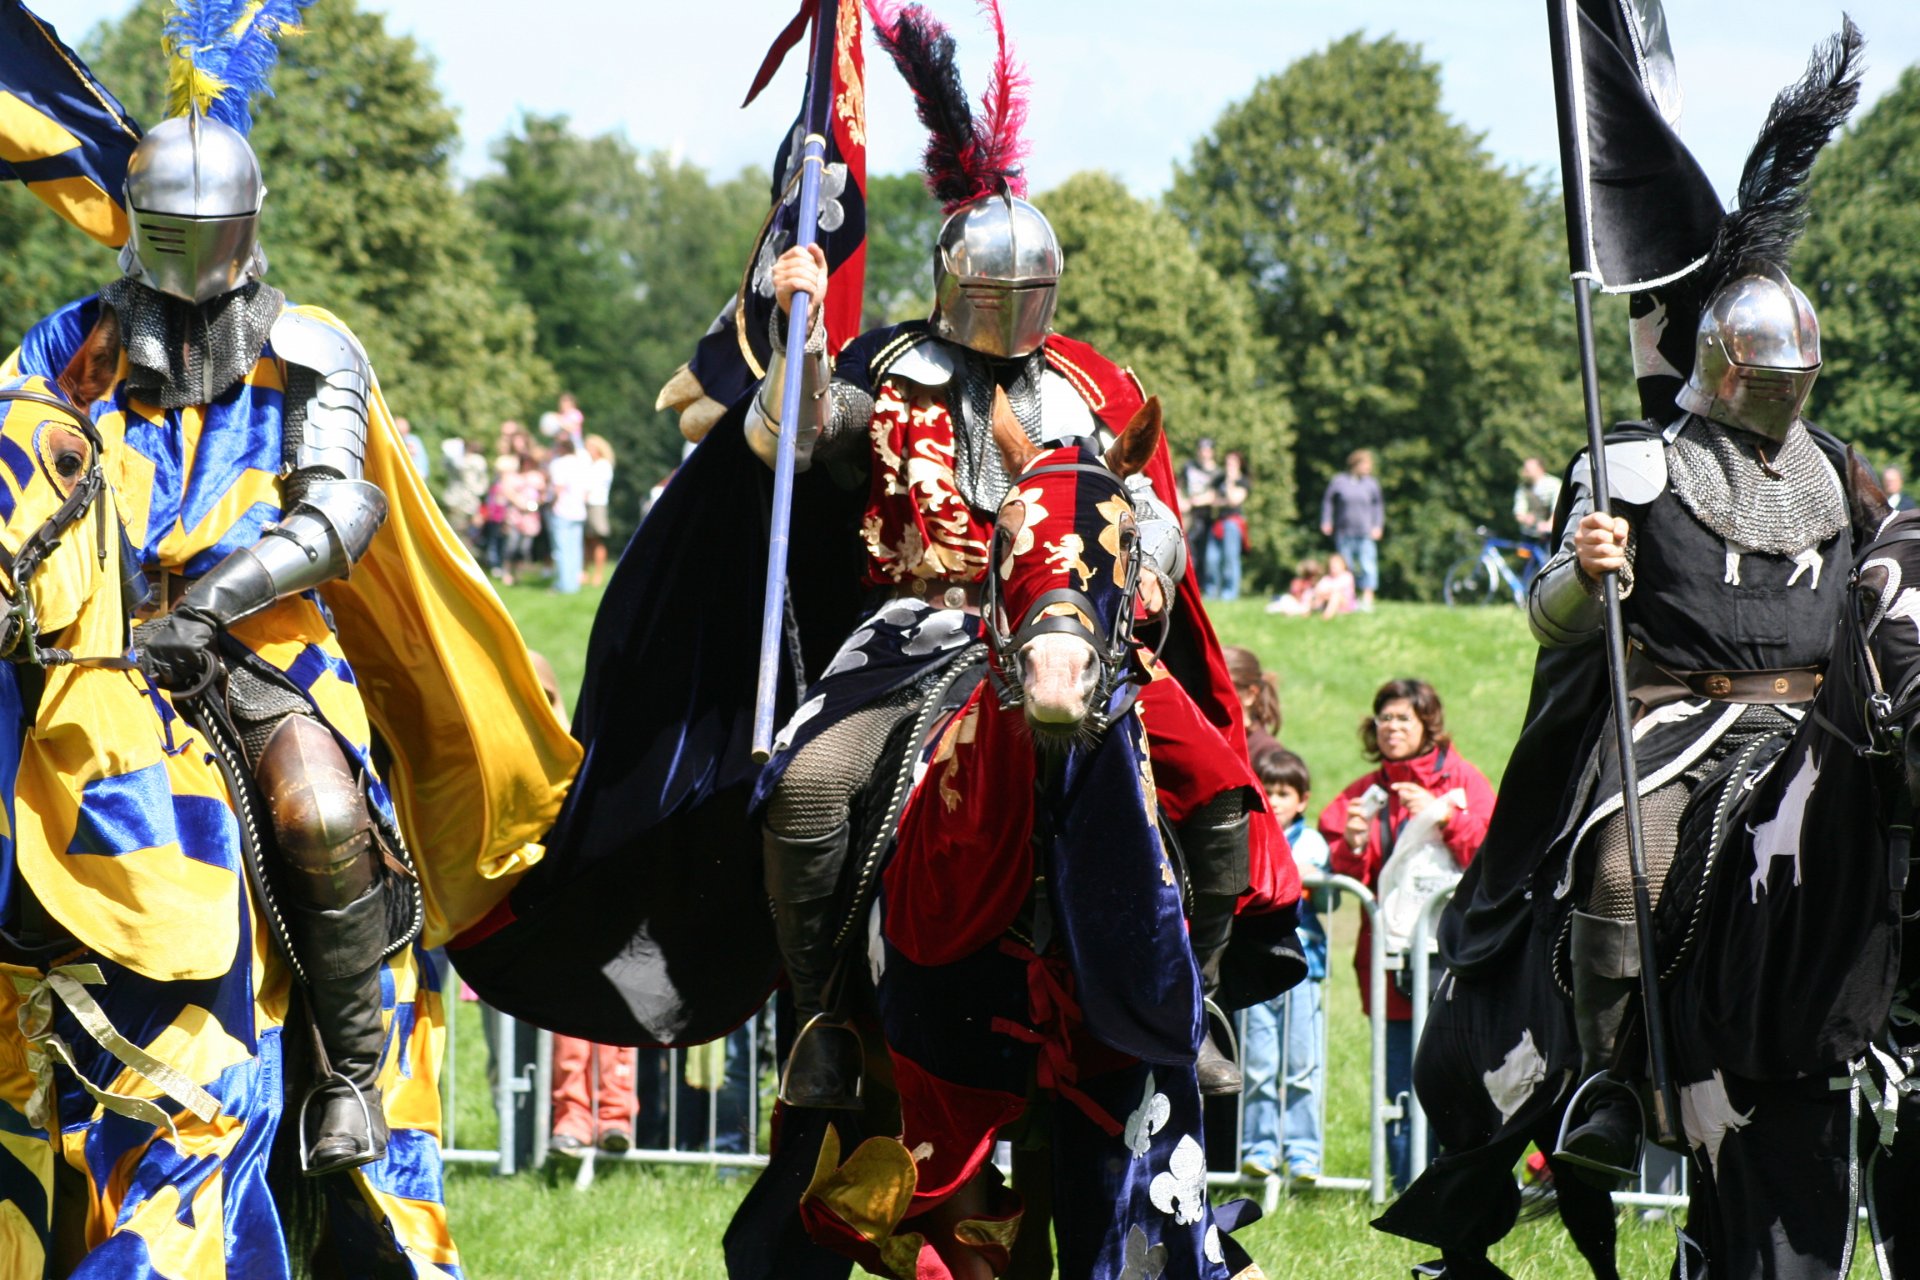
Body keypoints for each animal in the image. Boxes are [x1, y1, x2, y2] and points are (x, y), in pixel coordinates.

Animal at [721, 397, 1274, 1280]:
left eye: (1126, 538)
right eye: (1009, 532)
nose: (1057, 682)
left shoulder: (1121, 1093)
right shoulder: (948, 1096)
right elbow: (972, 1237)